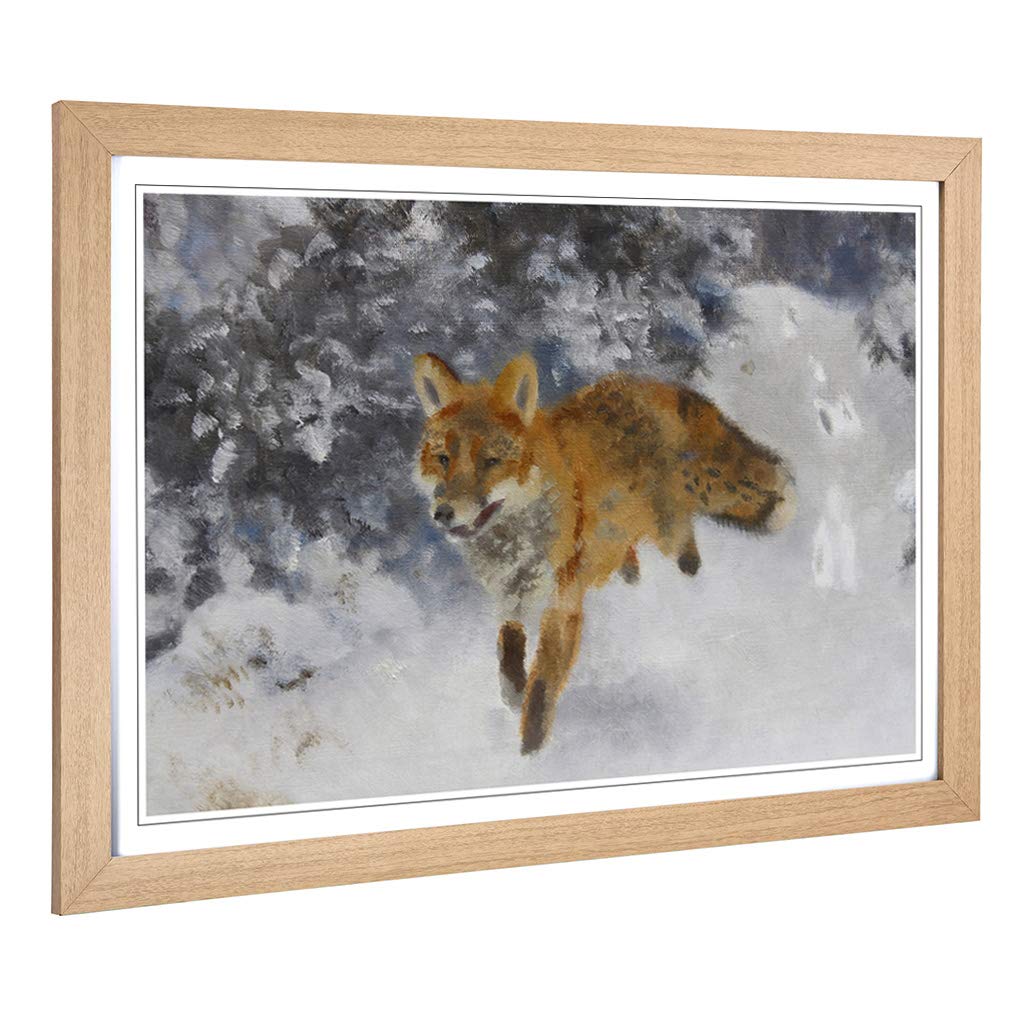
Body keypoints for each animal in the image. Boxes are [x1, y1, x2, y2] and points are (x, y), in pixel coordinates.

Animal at [413, 352, 795, 754]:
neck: (516, 543)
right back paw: (631, 574)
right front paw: (513, 693)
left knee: (688, 554)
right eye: (443, 459)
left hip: (666, 530)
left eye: (490, 462)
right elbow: (509, 651)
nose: (443, 513)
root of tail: (658, 385)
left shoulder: (562, 602)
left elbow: (543, 682)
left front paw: (532, 749)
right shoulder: (510, 595)